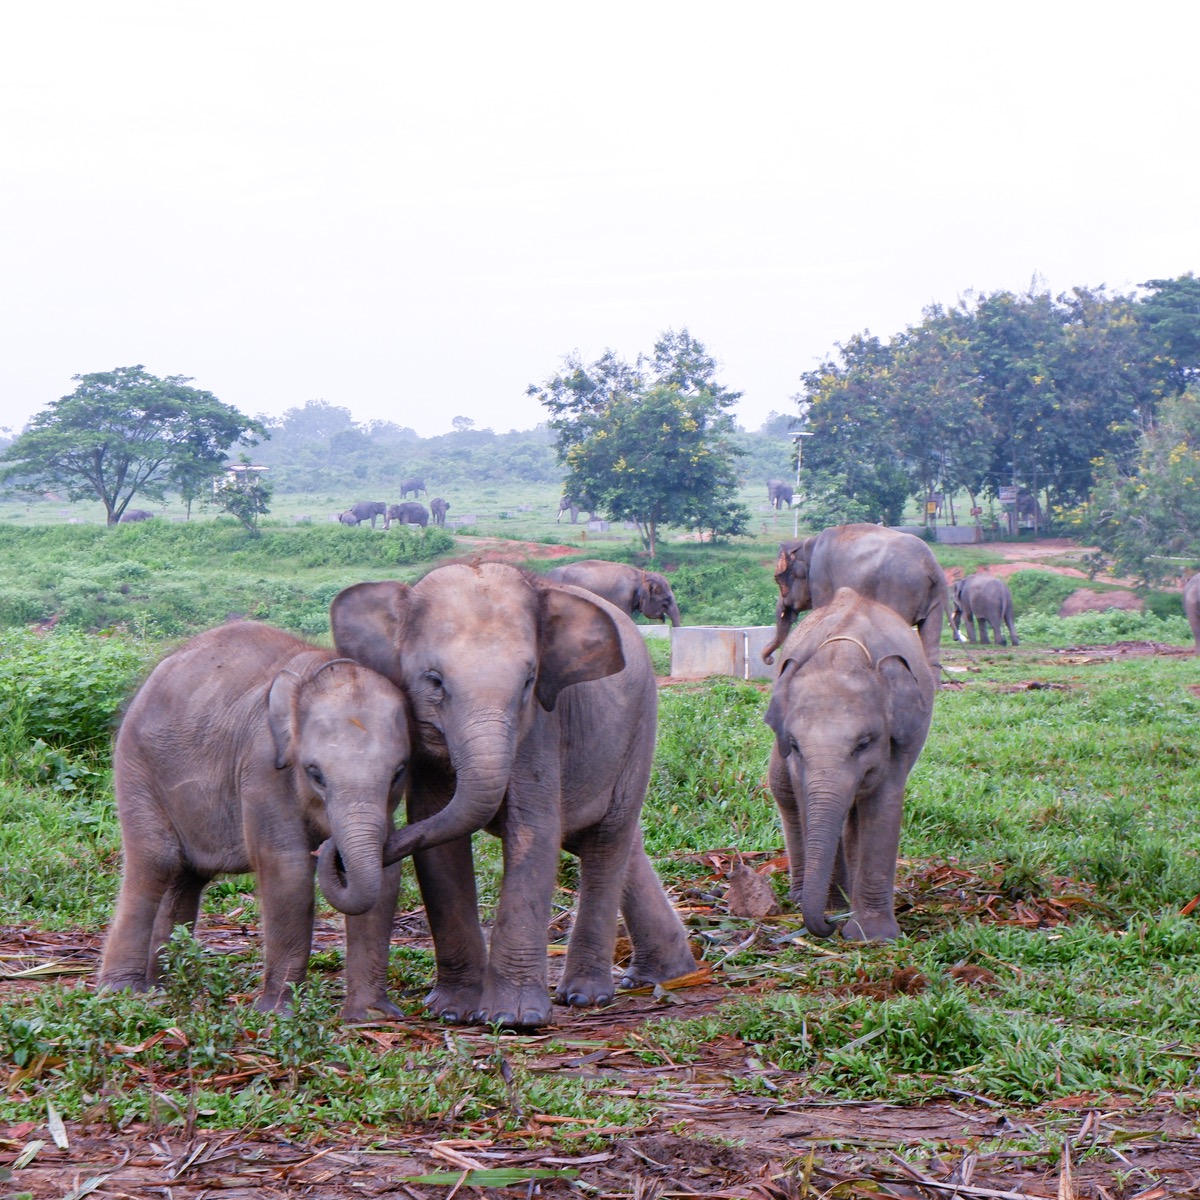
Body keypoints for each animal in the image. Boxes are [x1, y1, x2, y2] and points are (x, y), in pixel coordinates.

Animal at [94, 619, 412, 1022]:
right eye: (315, 773)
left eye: (399, 772)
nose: (330, 849)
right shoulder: (261, 767)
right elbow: (286, 870)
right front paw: (277, 1014)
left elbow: (388, 871)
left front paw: (371, 1016)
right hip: (136, 766)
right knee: (155, 862)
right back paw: (123, 993)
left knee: (187, 878)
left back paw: (164, 986)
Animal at [333, 564, 700, 1032]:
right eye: (434, 681)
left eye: (528, 681)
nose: (335, 856)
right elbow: (436, 837)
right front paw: (452, 1011)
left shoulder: (540, 725)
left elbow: (533, 831)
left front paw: (513, 1019)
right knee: (602, 839)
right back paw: (666, 974)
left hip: (639, 729)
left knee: (607, 838)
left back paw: (586, 996)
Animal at [758, 590, 936, 945]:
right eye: (795, 745)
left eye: (863, 744)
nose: (830, 925)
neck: (841, 655)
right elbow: (804, 799)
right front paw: (836, 909)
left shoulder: (896, 741)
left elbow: (882, 806)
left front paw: (872, 936)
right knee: (784, 790)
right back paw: (813, 897)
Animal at [763, 525, 950, 676]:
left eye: (777, 579)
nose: (770, 660)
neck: (806, 544)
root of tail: (931, 564)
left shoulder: (820, 579)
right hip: (934, 595)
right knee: (930, 637)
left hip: (900, 587)